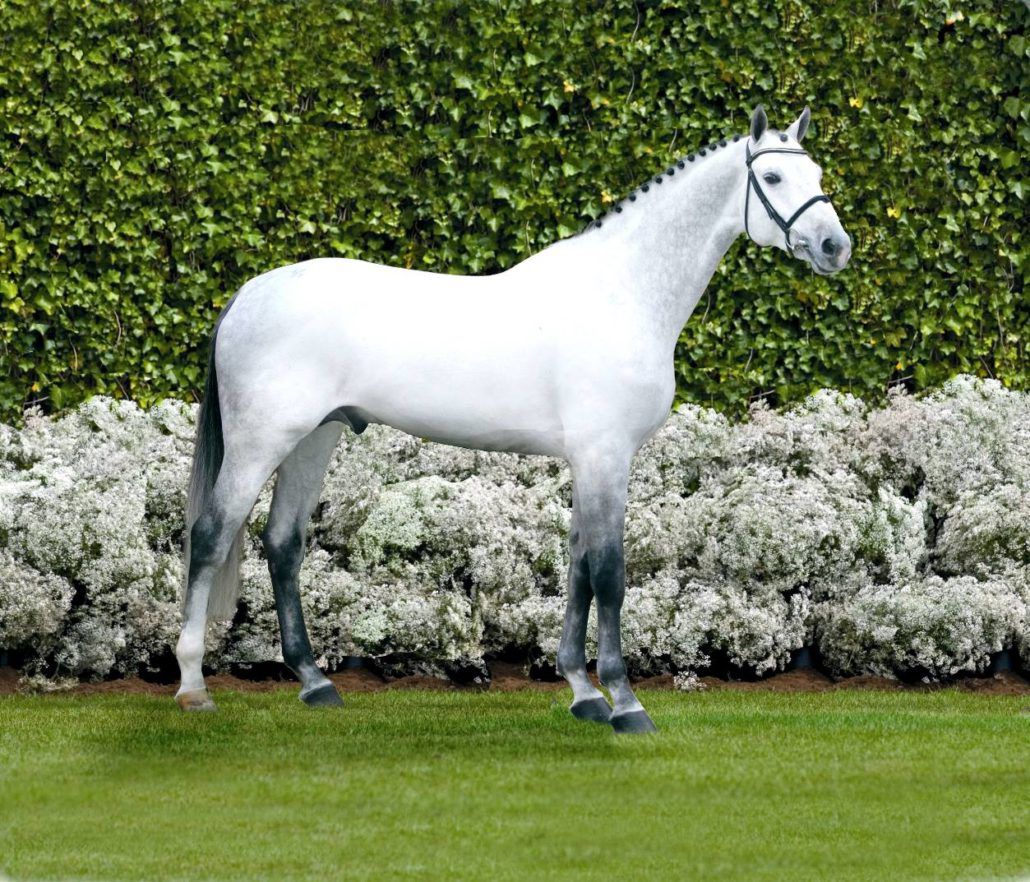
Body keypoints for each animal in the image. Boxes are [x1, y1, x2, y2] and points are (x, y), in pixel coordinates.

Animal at [175, 105, 851, 733]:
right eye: (772, 175)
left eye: (818, 173)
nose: (834, 247)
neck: (622, 293)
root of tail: (249, 292)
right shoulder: (606, 456)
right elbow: (609, 572)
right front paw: (625, 702)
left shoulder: (588, 462)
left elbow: (578, 566)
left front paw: (582, 694)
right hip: (260, 442)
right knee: (210, 536)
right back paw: (192, 686)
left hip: (315, 437)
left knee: (282, 543)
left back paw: (314, 682)